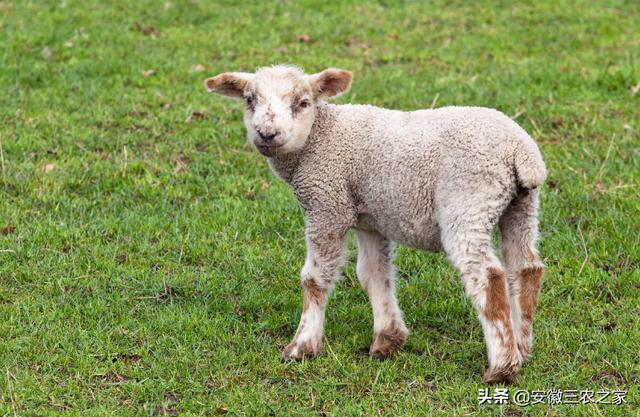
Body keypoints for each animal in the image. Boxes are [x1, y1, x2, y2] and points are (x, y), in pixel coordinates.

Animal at [204, 65, 544, 384]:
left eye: (302, 102)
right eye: (250, 100)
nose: (267, 134)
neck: (318, 139)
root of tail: (521, 153)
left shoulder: (328, 206)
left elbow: (315, 279)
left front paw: (302, 346)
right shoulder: (370, 220)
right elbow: (373, 274)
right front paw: (388, 339)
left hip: (468, 201)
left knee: (489, 276)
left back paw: (502, 366)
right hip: (521, 207)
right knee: (526, 268)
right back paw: (522, 347)